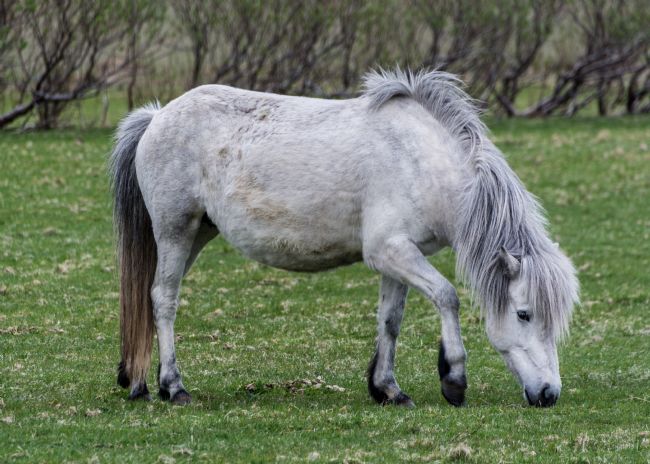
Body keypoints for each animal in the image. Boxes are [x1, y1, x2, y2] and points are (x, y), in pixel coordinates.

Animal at [109, 69, 579, 408]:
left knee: (150, 296)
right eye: (524, 314)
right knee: (164, 299)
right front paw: (454, 380)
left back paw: (139, 382)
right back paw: (173, 387)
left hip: (194, 236)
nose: (548, 395)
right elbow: (447, 296)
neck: (419, 159)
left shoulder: (398, 256)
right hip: (176, 230)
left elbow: (390, 320)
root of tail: (157, 116)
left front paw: (387, 389)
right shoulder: (391, 252)